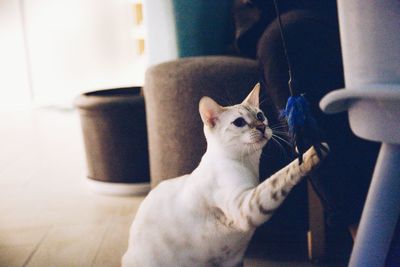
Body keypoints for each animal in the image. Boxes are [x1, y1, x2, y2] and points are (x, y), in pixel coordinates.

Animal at [122, 82, 328, 266]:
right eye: (239, 122)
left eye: (260, 115)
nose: (262, 127)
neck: (249, 165)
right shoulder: (245, 206)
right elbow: (280, 176)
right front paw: (315, 151)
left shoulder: (234, 260)